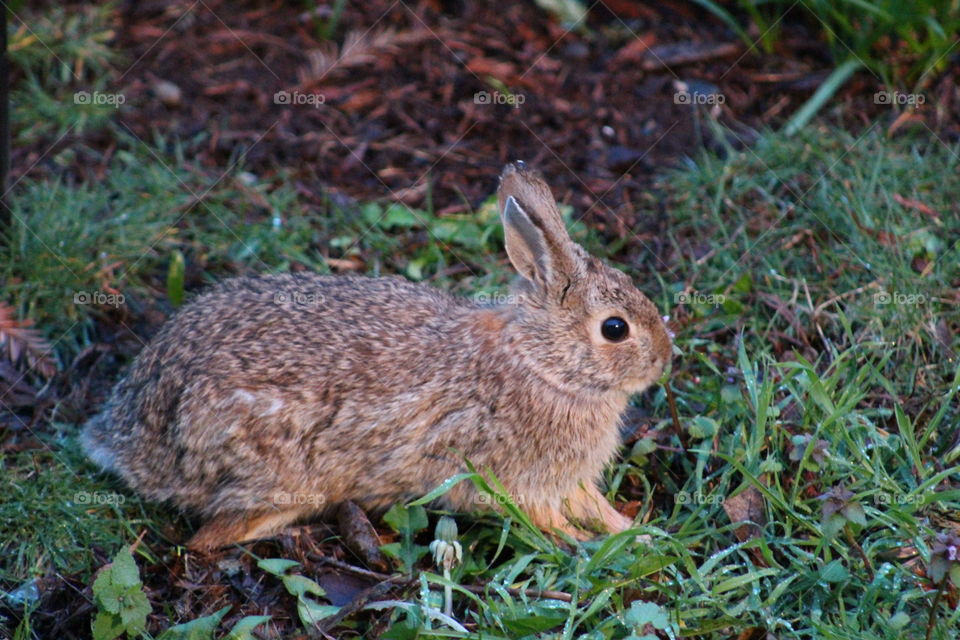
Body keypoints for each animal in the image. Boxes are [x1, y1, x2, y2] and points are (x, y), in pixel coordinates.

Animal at [82, 162, 672, 548]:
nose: (666, 359)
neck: (543, 364)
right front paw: (592, 544)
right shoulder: (505, 477)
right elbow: (546, 520)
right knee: (208, 539)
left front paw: (639, 533)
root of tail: (124, 436)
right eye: (615, 329)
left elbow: (597, 508)